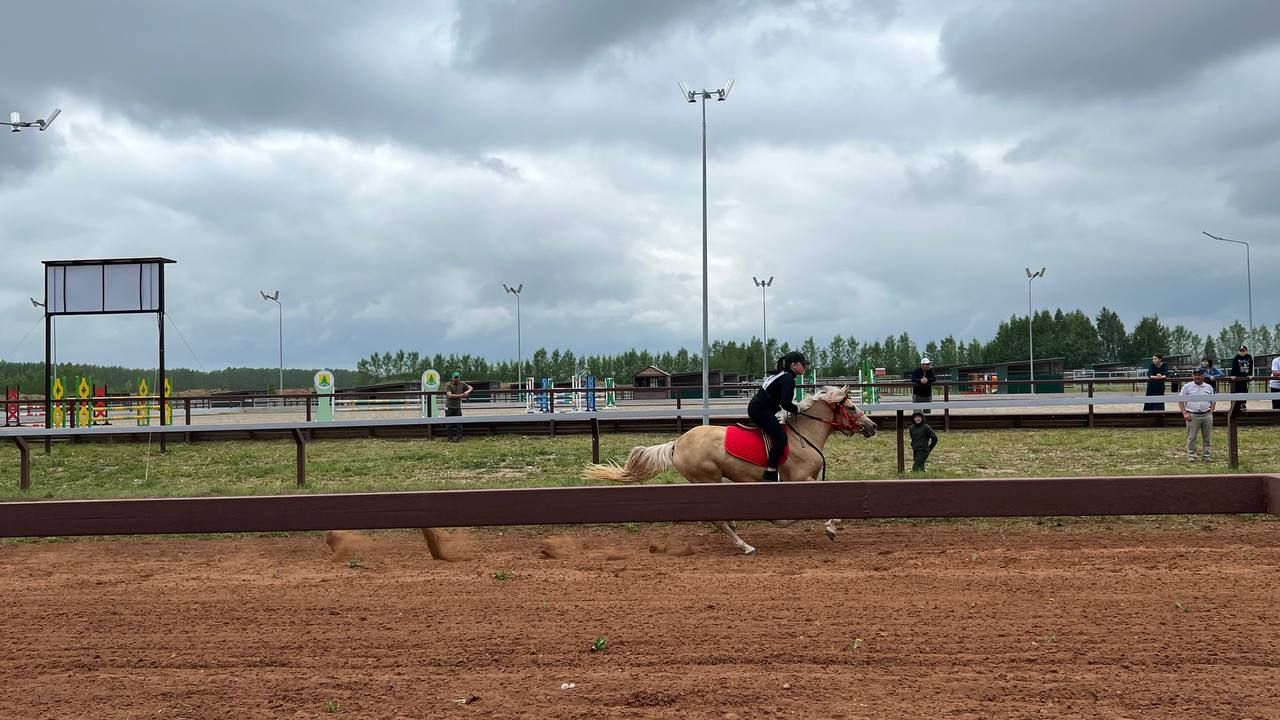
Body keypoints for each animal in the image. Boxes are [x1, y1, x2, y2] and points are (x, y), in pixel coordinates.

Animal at [583, 384, 875, 550]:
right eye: (851, 406)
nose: (872, 426)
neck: (804, 435)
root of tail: (677, 443)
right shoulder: (800, 480)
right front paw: (831, 528)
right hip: (707, 480)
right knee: (717, 520)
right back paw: (744, 546)